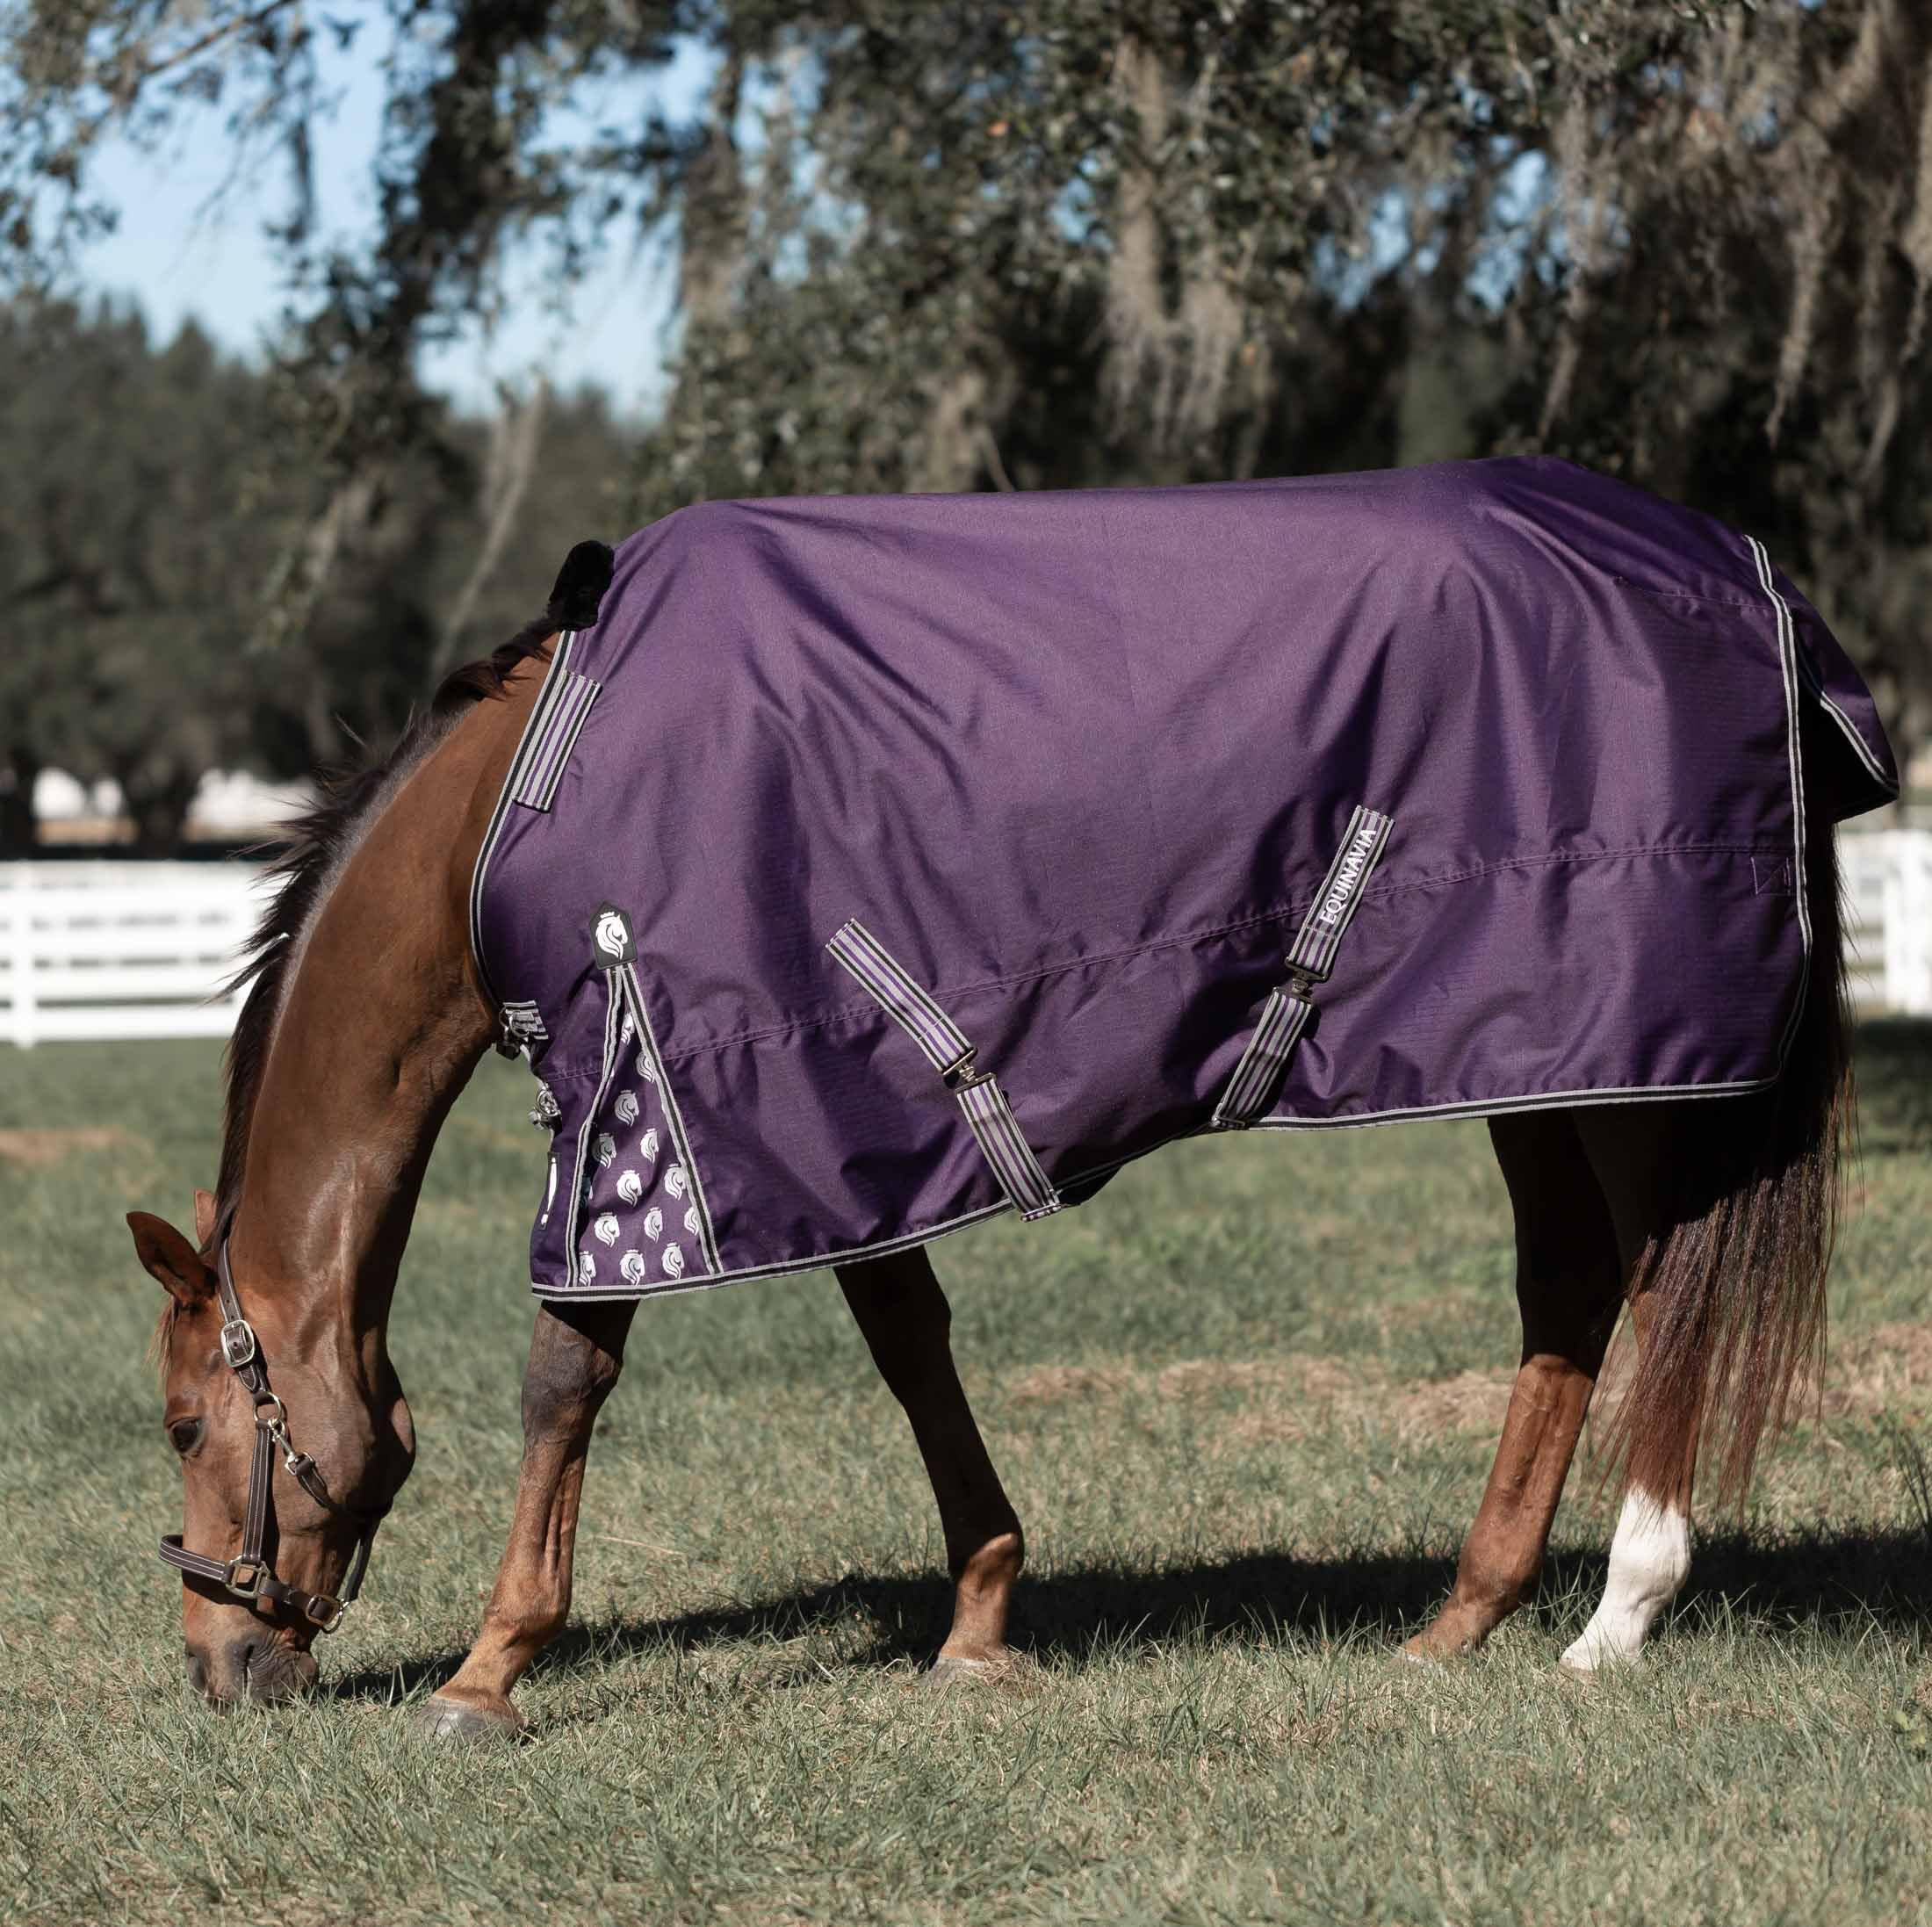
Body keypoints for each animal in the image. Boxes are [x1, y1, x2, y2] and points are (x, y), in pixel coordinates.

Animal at [131, 464, 1891, 1734]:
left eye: (183, 1422)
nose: (218, 1666)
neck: (524, 798)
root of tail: (1750, 577)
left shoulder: (639, 1095)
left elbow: (567, 1376)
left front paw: (489, 1669)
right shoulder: (824, 1114)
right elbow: (911, 1343)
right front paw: (980, 1617)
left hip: (1625, 1064)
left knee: (1660, 1288)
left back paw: (1620, 1609)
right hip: (1540, 1056)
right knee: (1573, 1288)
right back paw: (1461, 1614)